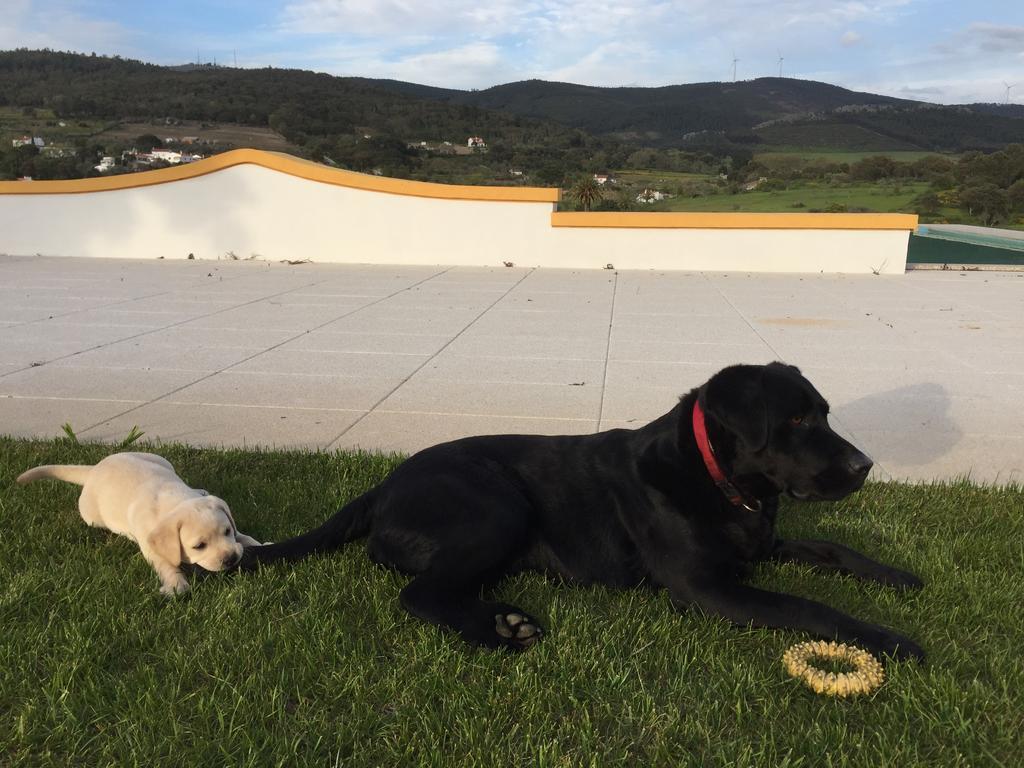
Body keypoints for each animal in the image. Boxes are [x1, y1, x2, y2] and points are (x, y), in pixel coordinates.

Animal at [17, 454, 262, 598]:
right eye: (199, 546)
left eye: (227, 531)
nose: (230, 558)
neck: (176, 501)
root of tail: (94, 468)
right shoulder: (150, 546)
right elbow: (166, 565)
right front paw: (176, 585)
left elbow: (244, 537)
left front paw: (258, 543)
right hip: (91, 515)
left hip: (160, 459)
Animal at [241, 362, 929, 663]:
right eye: (797, 420)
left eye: (826, 414)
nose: (866, 465)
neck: (717, 478)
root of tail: (384, 483)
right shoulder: (705, 587)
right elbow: (810, 606)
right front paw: (890, 638)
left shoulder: (760, 545)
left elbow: (834, 548)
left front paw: (898, 576)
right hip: (497, 508)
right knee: (417, 594)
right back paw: (497, 635)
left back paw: (505, 619)